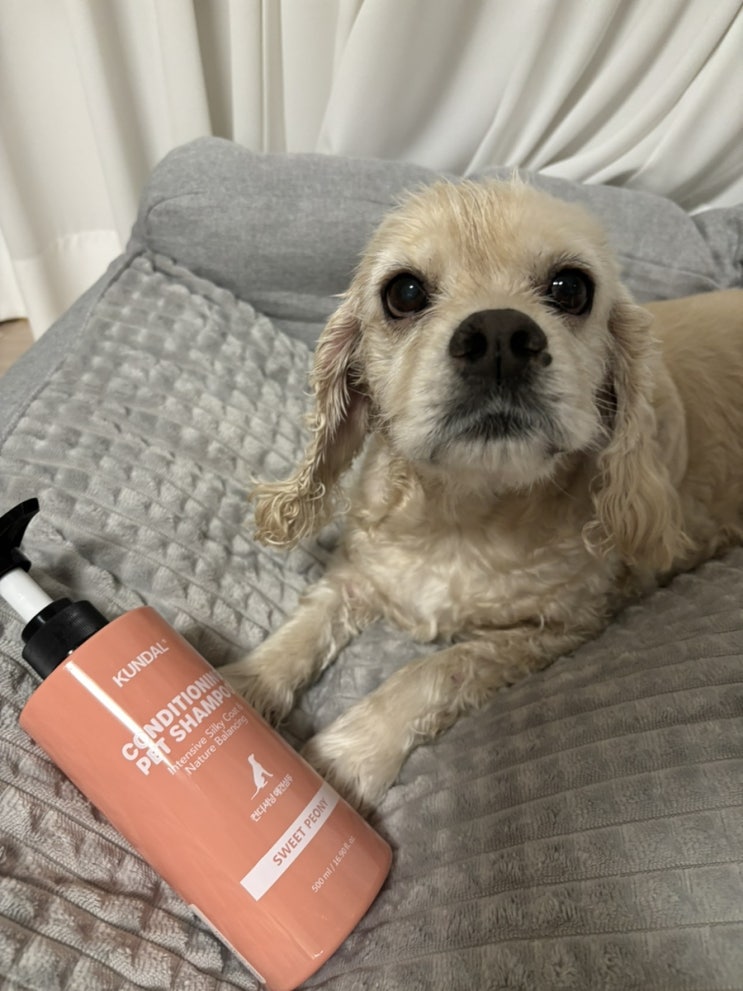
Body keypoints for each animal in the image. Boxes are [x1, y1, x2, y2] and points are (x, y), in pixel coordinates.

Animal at [221, 178, 743, 811]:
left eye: (571, 288)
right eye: (404, 292)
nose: (499, 336)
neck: (462, 510)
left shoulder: (553, 630)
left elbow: (439, 668)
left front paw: (349, 753)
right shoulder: (359, 576)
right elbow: (304, 628)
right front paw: (239, 691)